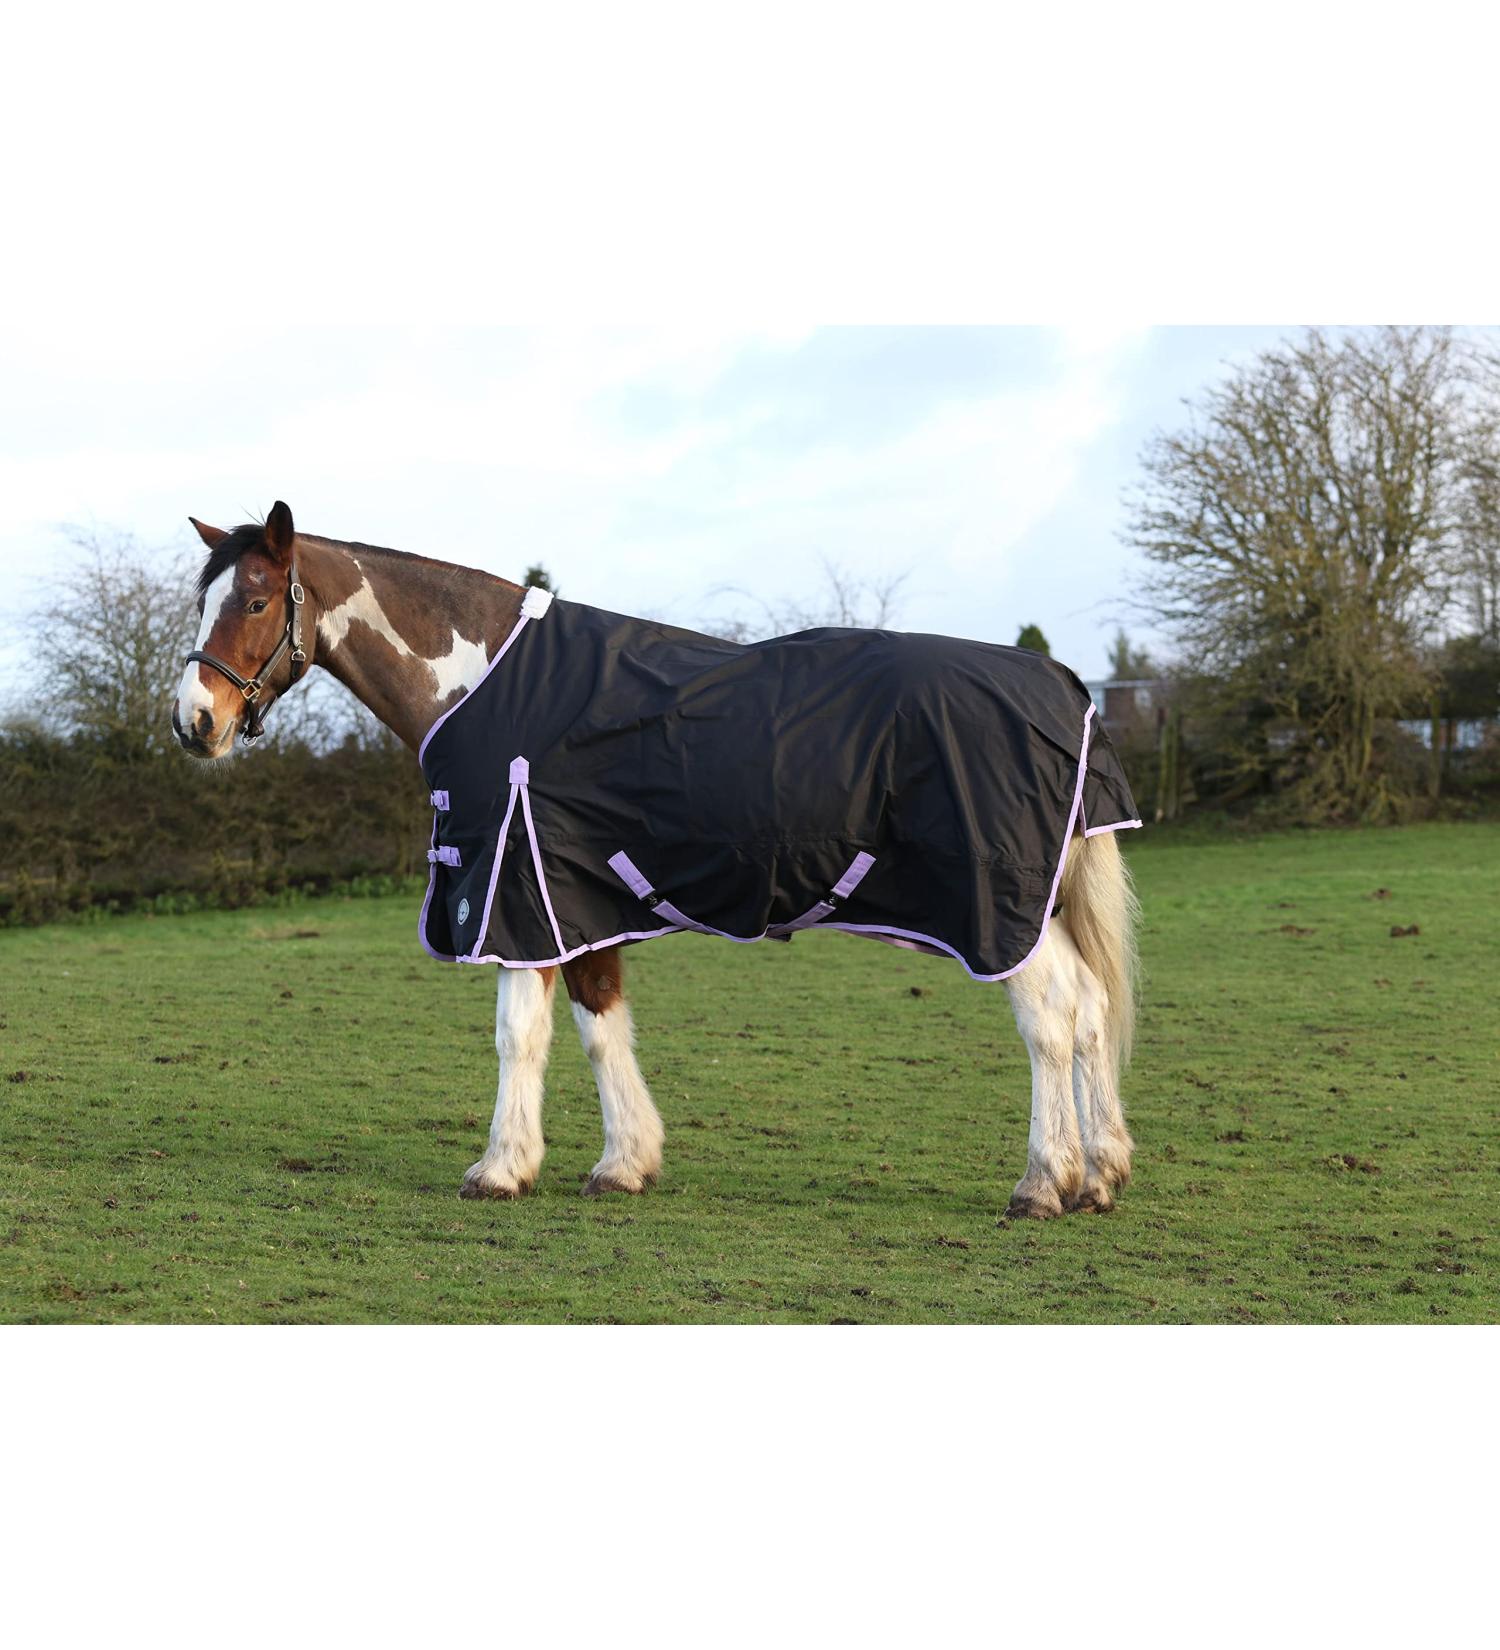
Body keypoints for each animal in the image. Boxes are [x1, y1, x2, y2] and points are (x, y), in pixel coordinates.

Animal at [173, 501, 1140, 1218]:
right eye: (200, 602)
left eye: (255, 602)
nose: (194, 723)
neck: (488, 681)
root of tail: (1064, 688)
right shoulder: (576, 903)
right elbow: (601, 1028)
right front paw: (623, 1163)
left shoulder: (519, 896)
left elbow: (518, 1034)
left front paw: (500, 1169)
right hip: (1039, 907)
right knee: (1091, 1008)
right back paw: (1100, 1174)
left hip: (996, 909)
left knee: (1050, 1017)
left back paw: (1042, 1182)